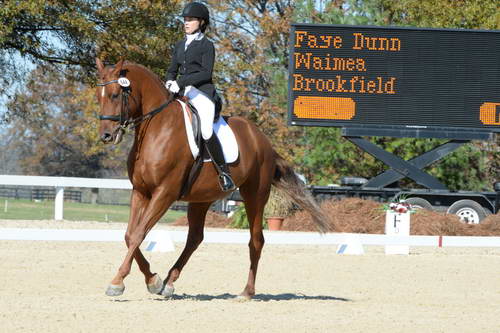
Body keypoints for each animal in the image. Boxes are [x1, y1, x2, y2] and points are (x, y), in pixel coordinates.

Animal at [95, 57, 330, 298]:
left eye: (115, 95)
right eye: (98, 96)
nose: (106, 136)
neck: (157, 129)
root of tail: (264, 141)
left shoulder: (164, 194)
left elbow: (139, 233)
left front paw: (118, 282)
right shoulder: (140, 192)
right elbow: (130, 234)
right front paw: (153, 281)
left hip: (254, 196)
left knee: (256, 240)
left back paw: (247, 292)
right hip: (201, 199)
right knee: (195, 238)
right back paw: (169, 282)